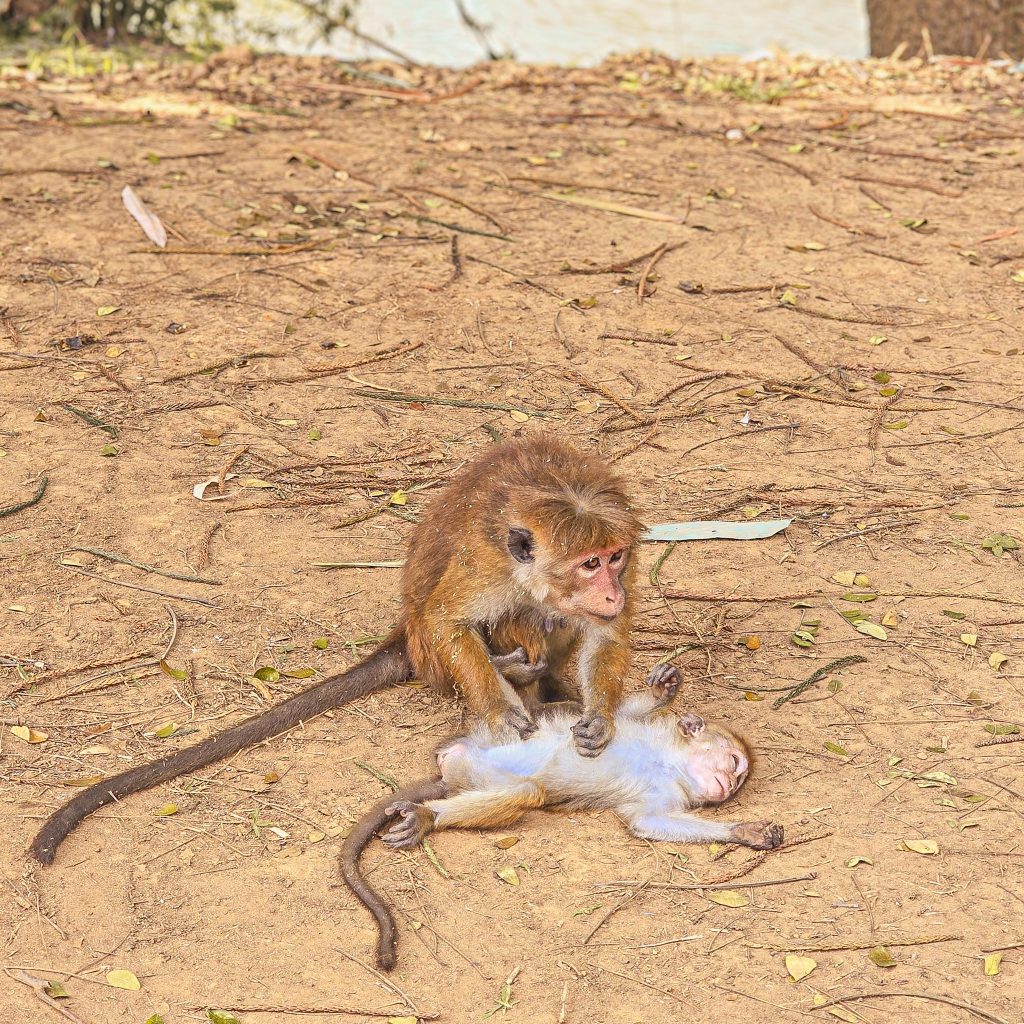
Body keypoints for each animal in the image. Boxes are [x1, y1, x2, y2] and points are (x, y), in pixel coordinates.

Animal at [31, 435, 643, 864]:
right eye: (589, 563)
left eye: (614, 558)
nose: (611, 591)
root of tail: (402, 641)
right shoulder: (488, 563)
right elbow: (449, 619)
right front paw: (501, 709)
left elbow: (607, 633)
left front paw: (600, 718)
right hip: (429, 651)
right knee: (505, 619)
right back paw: (512, 671)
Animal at [340, 665, 784, 970]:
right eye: (734, 764)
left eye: (738, 780)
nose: (729, 788)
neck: (668, 761)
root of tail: (451, 767)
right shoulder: (643, 735)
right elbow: (602, 716)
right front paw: (663, 689)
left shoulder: (666, 793)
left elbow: (647, 820)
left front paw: (744, 831)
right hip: (491, 732)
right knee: (521, 726)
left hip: (479, 769)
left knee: (526, 790)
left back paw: (426, 815)